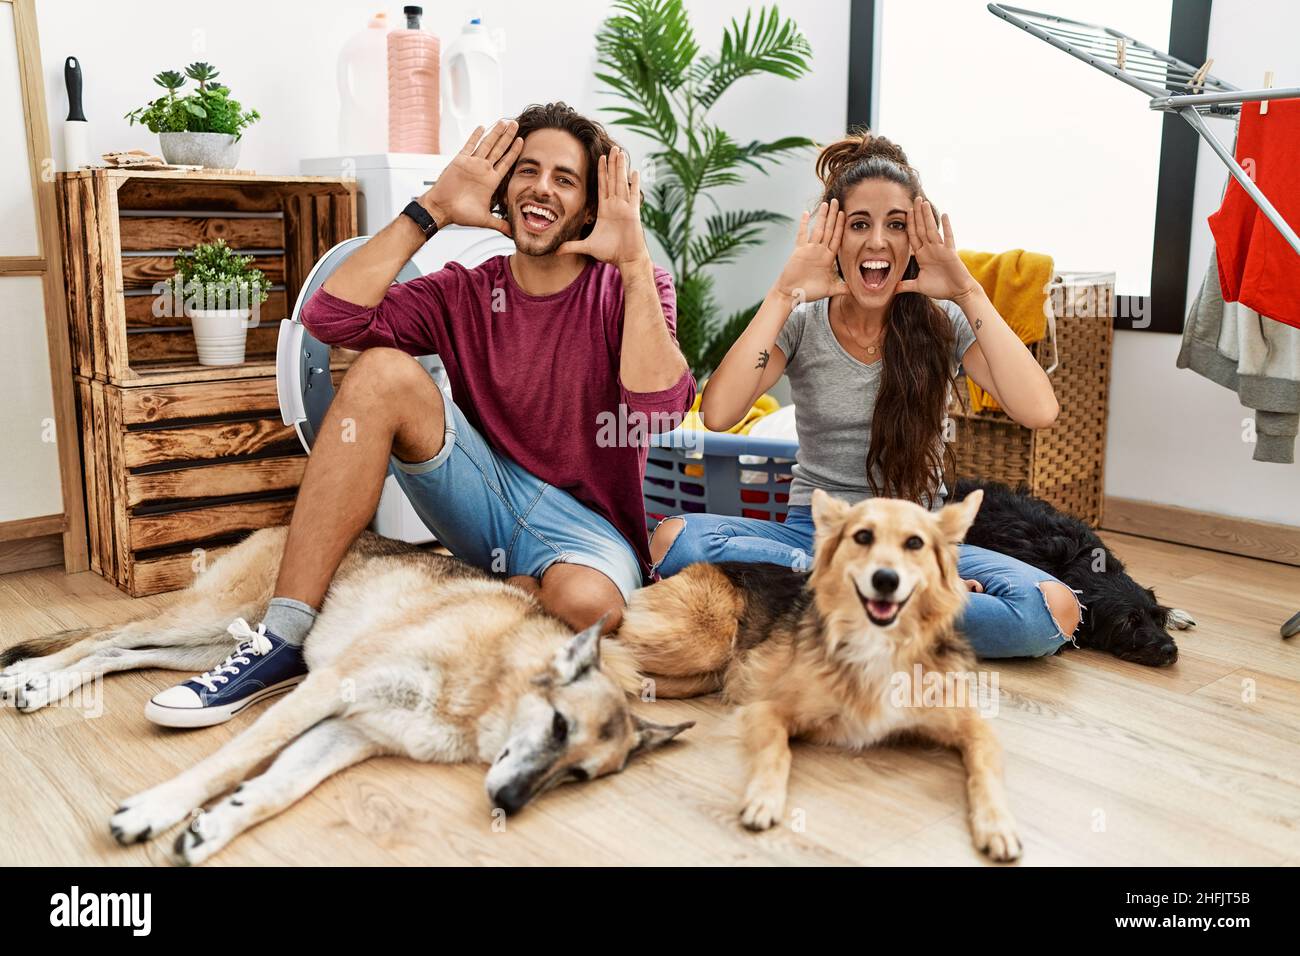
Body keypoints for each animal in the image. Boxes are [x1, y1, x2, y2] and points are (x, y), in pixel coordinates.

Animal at [0, 530, 691, 868]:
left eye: (579, 776)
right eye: (557, 726)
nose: (510, 803)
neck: (492, 683)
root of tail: (277, 523)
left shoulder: (349, 733)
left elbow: (274, 789)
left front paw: (215, 827)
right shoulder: (326, 691)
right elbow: (230, 762)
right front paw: (158, 807)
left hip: (204, 645)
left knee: (118, 654)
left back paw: (45, 683)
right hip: (208, 617)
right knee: (106, 637)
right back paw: (28, 676)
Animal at [608, 489, 1024, 863]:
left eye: (915, 543)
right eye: (862, 536)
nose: (885, 580)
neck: (880, 643)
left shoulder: (974, 727)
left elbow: (985, 771)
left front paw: (999, 826)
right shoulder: (768, 709)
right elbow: (777, 752)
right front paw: (762, 799)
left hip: (706, 672)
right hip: (703, 640)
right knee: (616, 641)